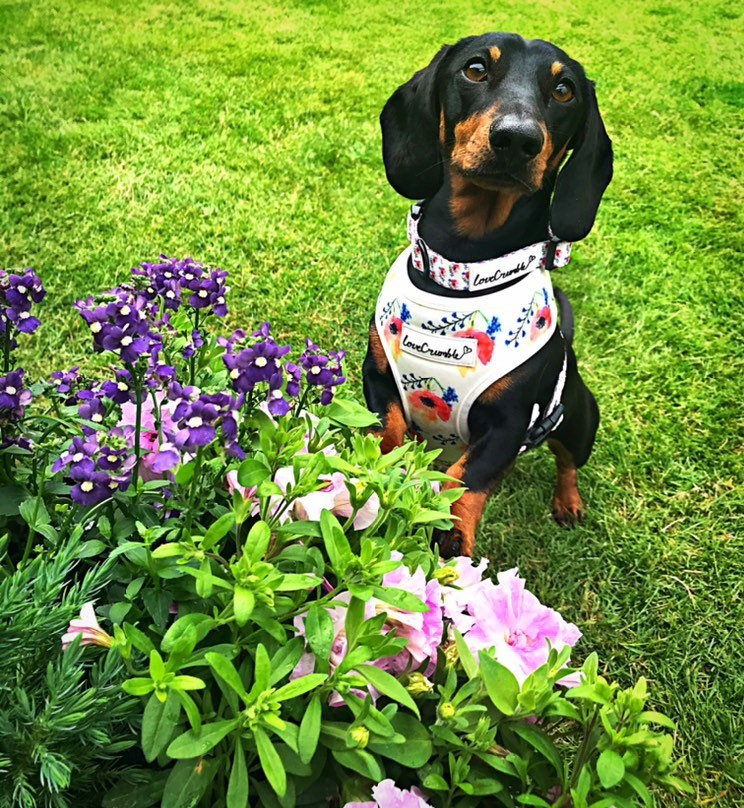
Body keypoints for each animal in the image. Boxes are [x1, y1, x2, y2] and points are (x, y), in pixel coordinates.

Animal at [360, 34, 612, 560]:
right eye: (475, 69)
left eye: (564, 90)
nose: (517, 139)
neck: (462, 274)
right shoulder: (378, 378)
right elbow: (384, 430)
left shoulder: (509, 423)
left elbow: (468, 479)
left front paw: (453, 534)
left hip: (580, 420)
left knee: (568, 462)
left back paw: (569, 502)